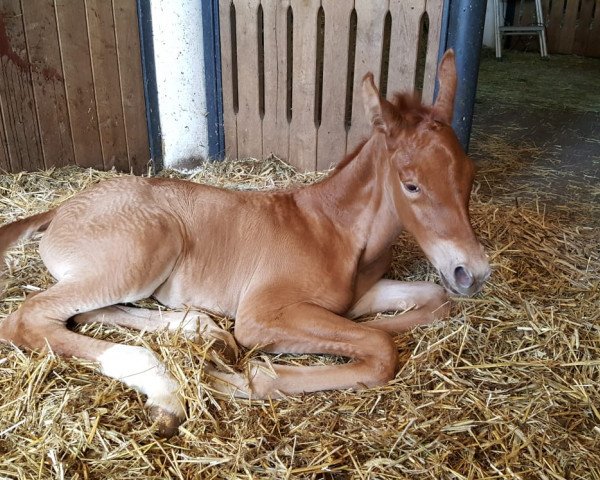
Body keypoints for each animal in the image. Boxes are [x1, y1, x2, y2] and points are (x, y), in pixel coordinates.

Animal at [0, 50, 488, 436]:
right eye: (411, 185)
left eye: (469, 175)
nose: (474, 272)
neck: (336, 232)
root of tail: (61, 208)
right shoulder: (261, 314)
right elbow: (379, 349)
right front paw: (243, 374)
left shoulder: (361, 293)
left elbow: (432, 302)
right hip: (143, 251)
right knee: (29, 317)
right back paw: (167, 388)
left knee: (86, 311)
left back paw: (205, 333)